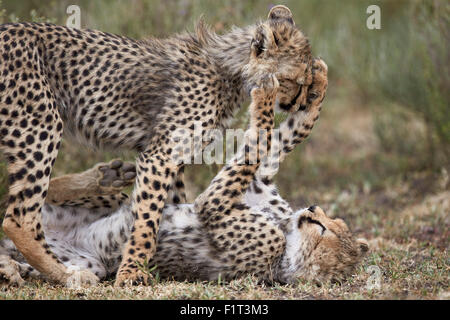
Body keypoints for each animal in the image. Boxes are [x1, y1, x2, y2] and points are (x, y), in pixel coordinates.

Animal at [0, 5, 314, 284]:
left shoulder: (172, 159)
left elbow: (167, 206)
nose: (300, 104)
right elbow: (147, 220)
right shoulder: (161, 155)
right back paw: (67, 275)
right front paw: (132, 272)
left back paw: (105, 178)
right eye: (297, 81)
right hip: (42, 123)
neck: (230, 70)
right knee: (20, 219)